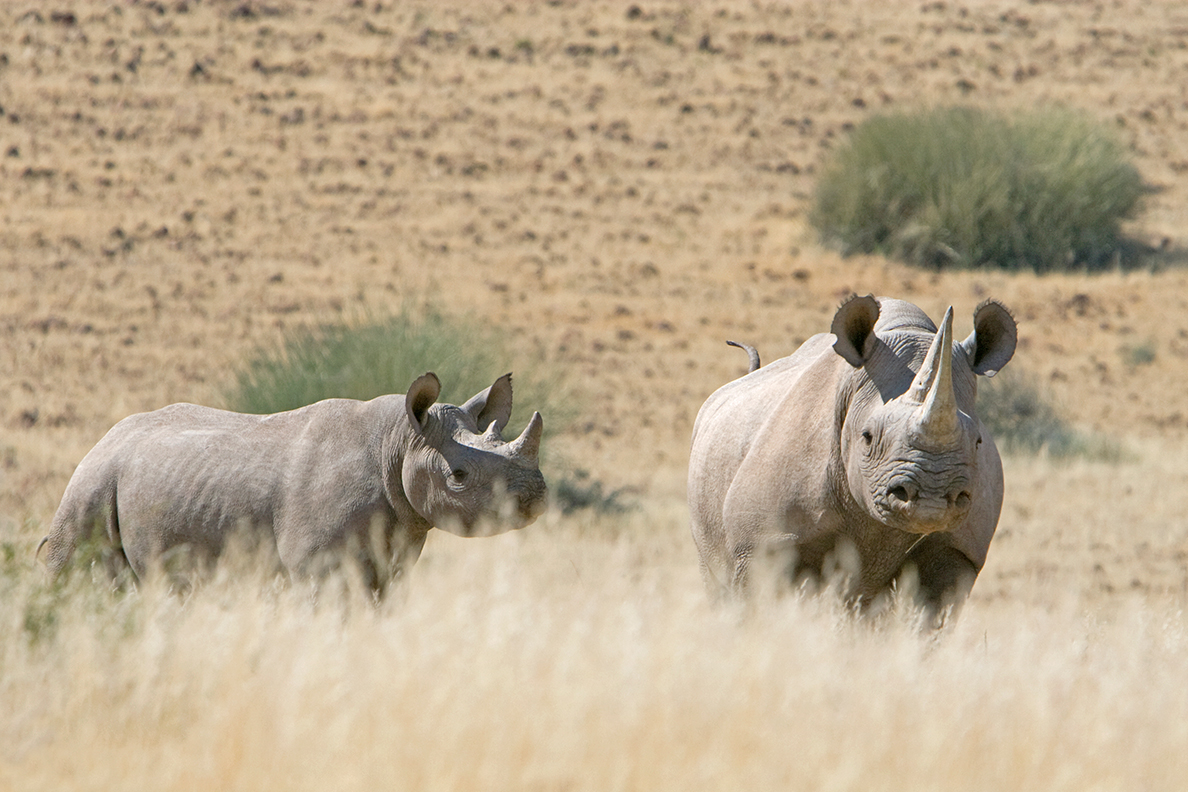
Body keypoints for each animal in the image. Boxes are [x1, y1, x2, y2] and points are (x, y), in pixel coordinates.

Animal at [41, 372, 547, 593]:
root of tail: (101, 443)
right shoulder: (319, 569)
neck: (400, 440)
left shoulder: (393, 561)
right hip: (91, 486)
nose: (535, 497)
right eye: (458, 477)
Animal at [688, 296, 1017, 615]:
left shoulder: (959, 548)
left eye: (977, 441)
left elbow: (930, 614)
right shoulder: (762, 542)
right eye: (867, 437)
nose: (931, 499)